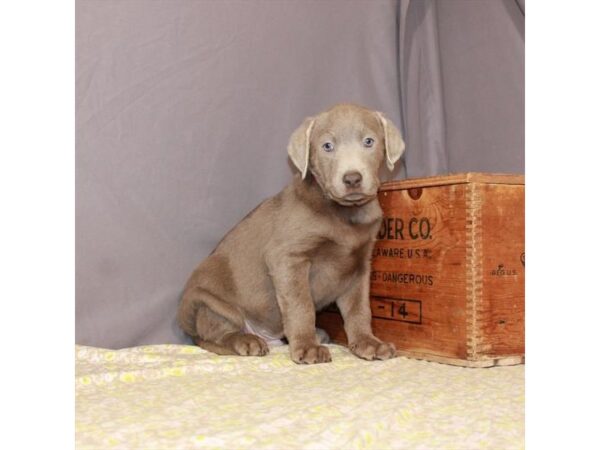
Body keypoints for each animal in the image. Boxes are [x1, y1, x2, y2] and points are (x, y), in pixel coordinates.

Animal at [176, 103, 406, 364]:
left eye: (369, 141)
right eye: (327, 146)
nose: (352, 178)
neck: (344, 213)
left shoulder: (358, 266)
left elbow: (360, 309)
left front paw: (368, 343)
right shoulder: (287, 258)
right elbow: (300, 305)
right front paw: (307, 347)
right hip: (210, 303)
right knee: (218, 336)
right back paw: (247, 341)